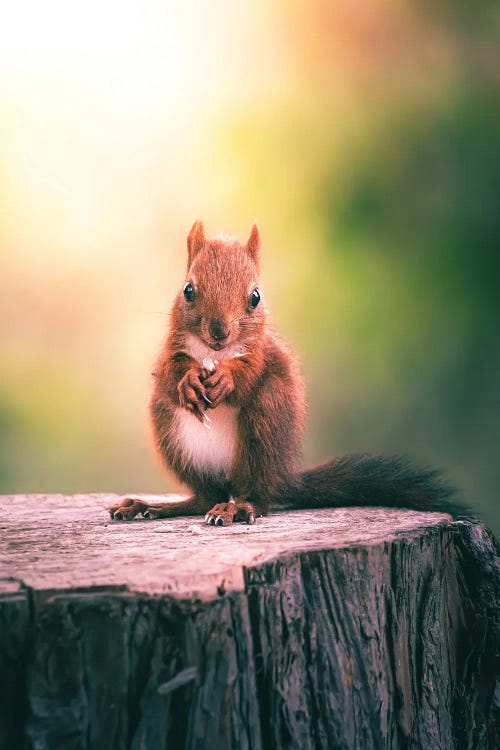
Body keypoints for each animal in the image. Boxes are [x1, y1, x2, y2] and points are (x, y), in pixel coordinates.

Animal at [109, 223, 464, 524]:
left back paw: (236, 509)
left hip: (265, 423)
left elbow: (249, 374)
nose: (219, 332)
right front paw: (188, 383)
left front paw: (226, 379)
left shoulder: (261, 355)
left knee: (258, 496)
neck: (215, 354)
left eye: (255, 297)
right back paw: (151, 506)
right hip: (171, 430)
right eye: (187, 290)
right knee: (204, 497)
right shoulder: (173, 349)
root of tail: (283, 476)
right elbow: (171, 371)